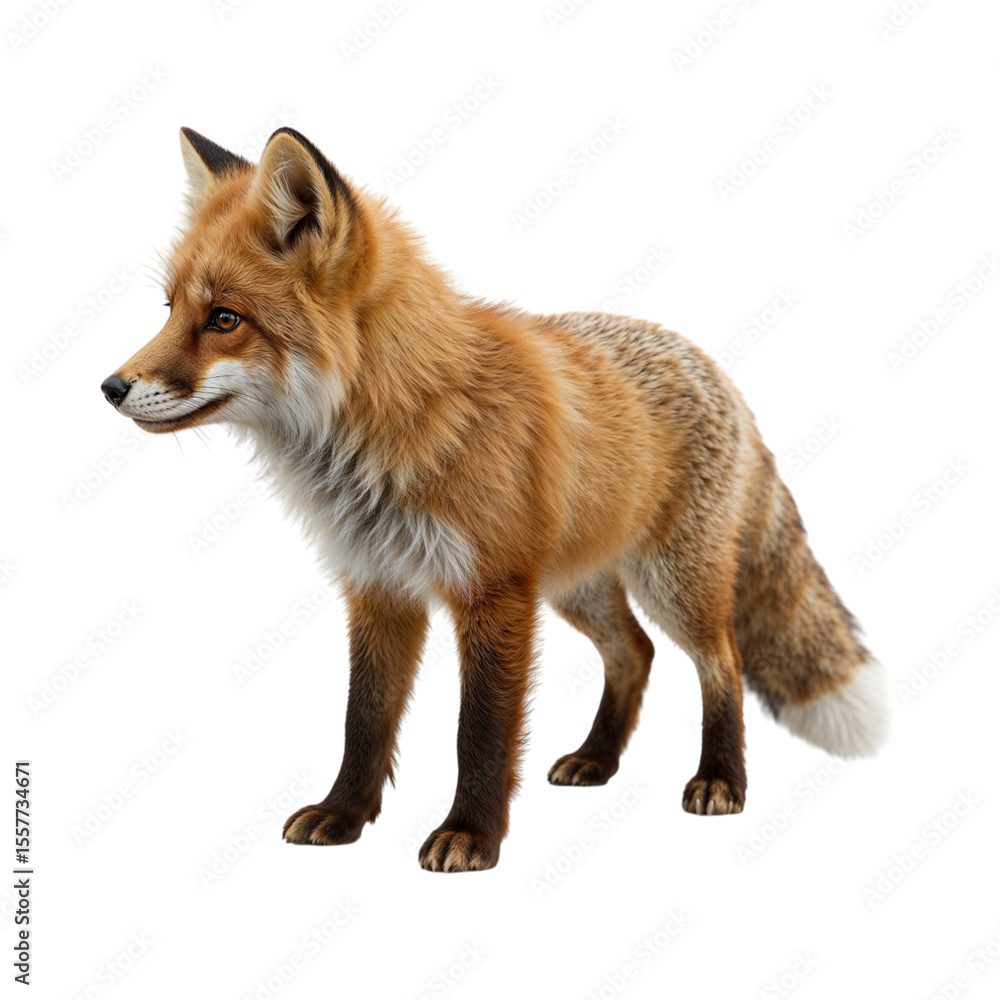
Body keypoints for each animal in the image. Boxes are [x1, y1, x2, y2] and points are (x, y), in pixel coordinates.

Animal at [101, 126, 889, 872]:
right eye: (169, 309)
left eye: (224, 319)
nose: (109, 387)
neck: (396, 424)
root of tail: (710, 364)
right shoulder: (378, 586)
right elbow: (364, 719)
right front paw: (344, 815)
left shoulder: (494, 591)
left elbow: (478, 731)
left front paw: (470, 835)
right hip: (577, 587)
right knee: (634, 652)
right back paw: (597, 759)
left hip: (673, 584)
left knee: (722, 662)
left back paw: (722, 779)